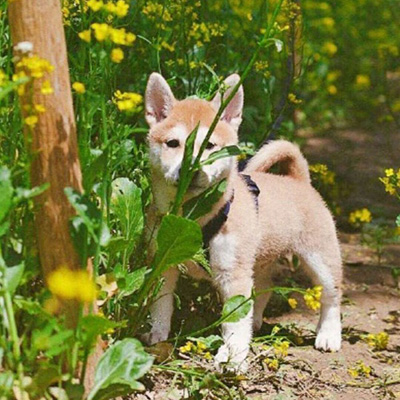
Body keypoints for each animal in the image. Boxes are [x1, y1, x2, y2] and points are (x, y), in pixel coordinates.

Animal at [142, 72, 342, 372]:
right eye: (173, 144)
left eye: (210, 145)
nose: (191, 168)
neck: (195, 217)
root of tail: (299, 181)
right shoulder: (164, 263)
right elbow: (161, 304)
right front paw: (157, 333)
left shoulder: (233, 274)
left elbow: (234, 322)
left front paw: (233, 355)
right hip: (258, 261)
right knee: (261, 292)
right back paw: (257, 322)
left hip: (321, 259)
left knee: (332, 296)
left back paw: (328, 334)